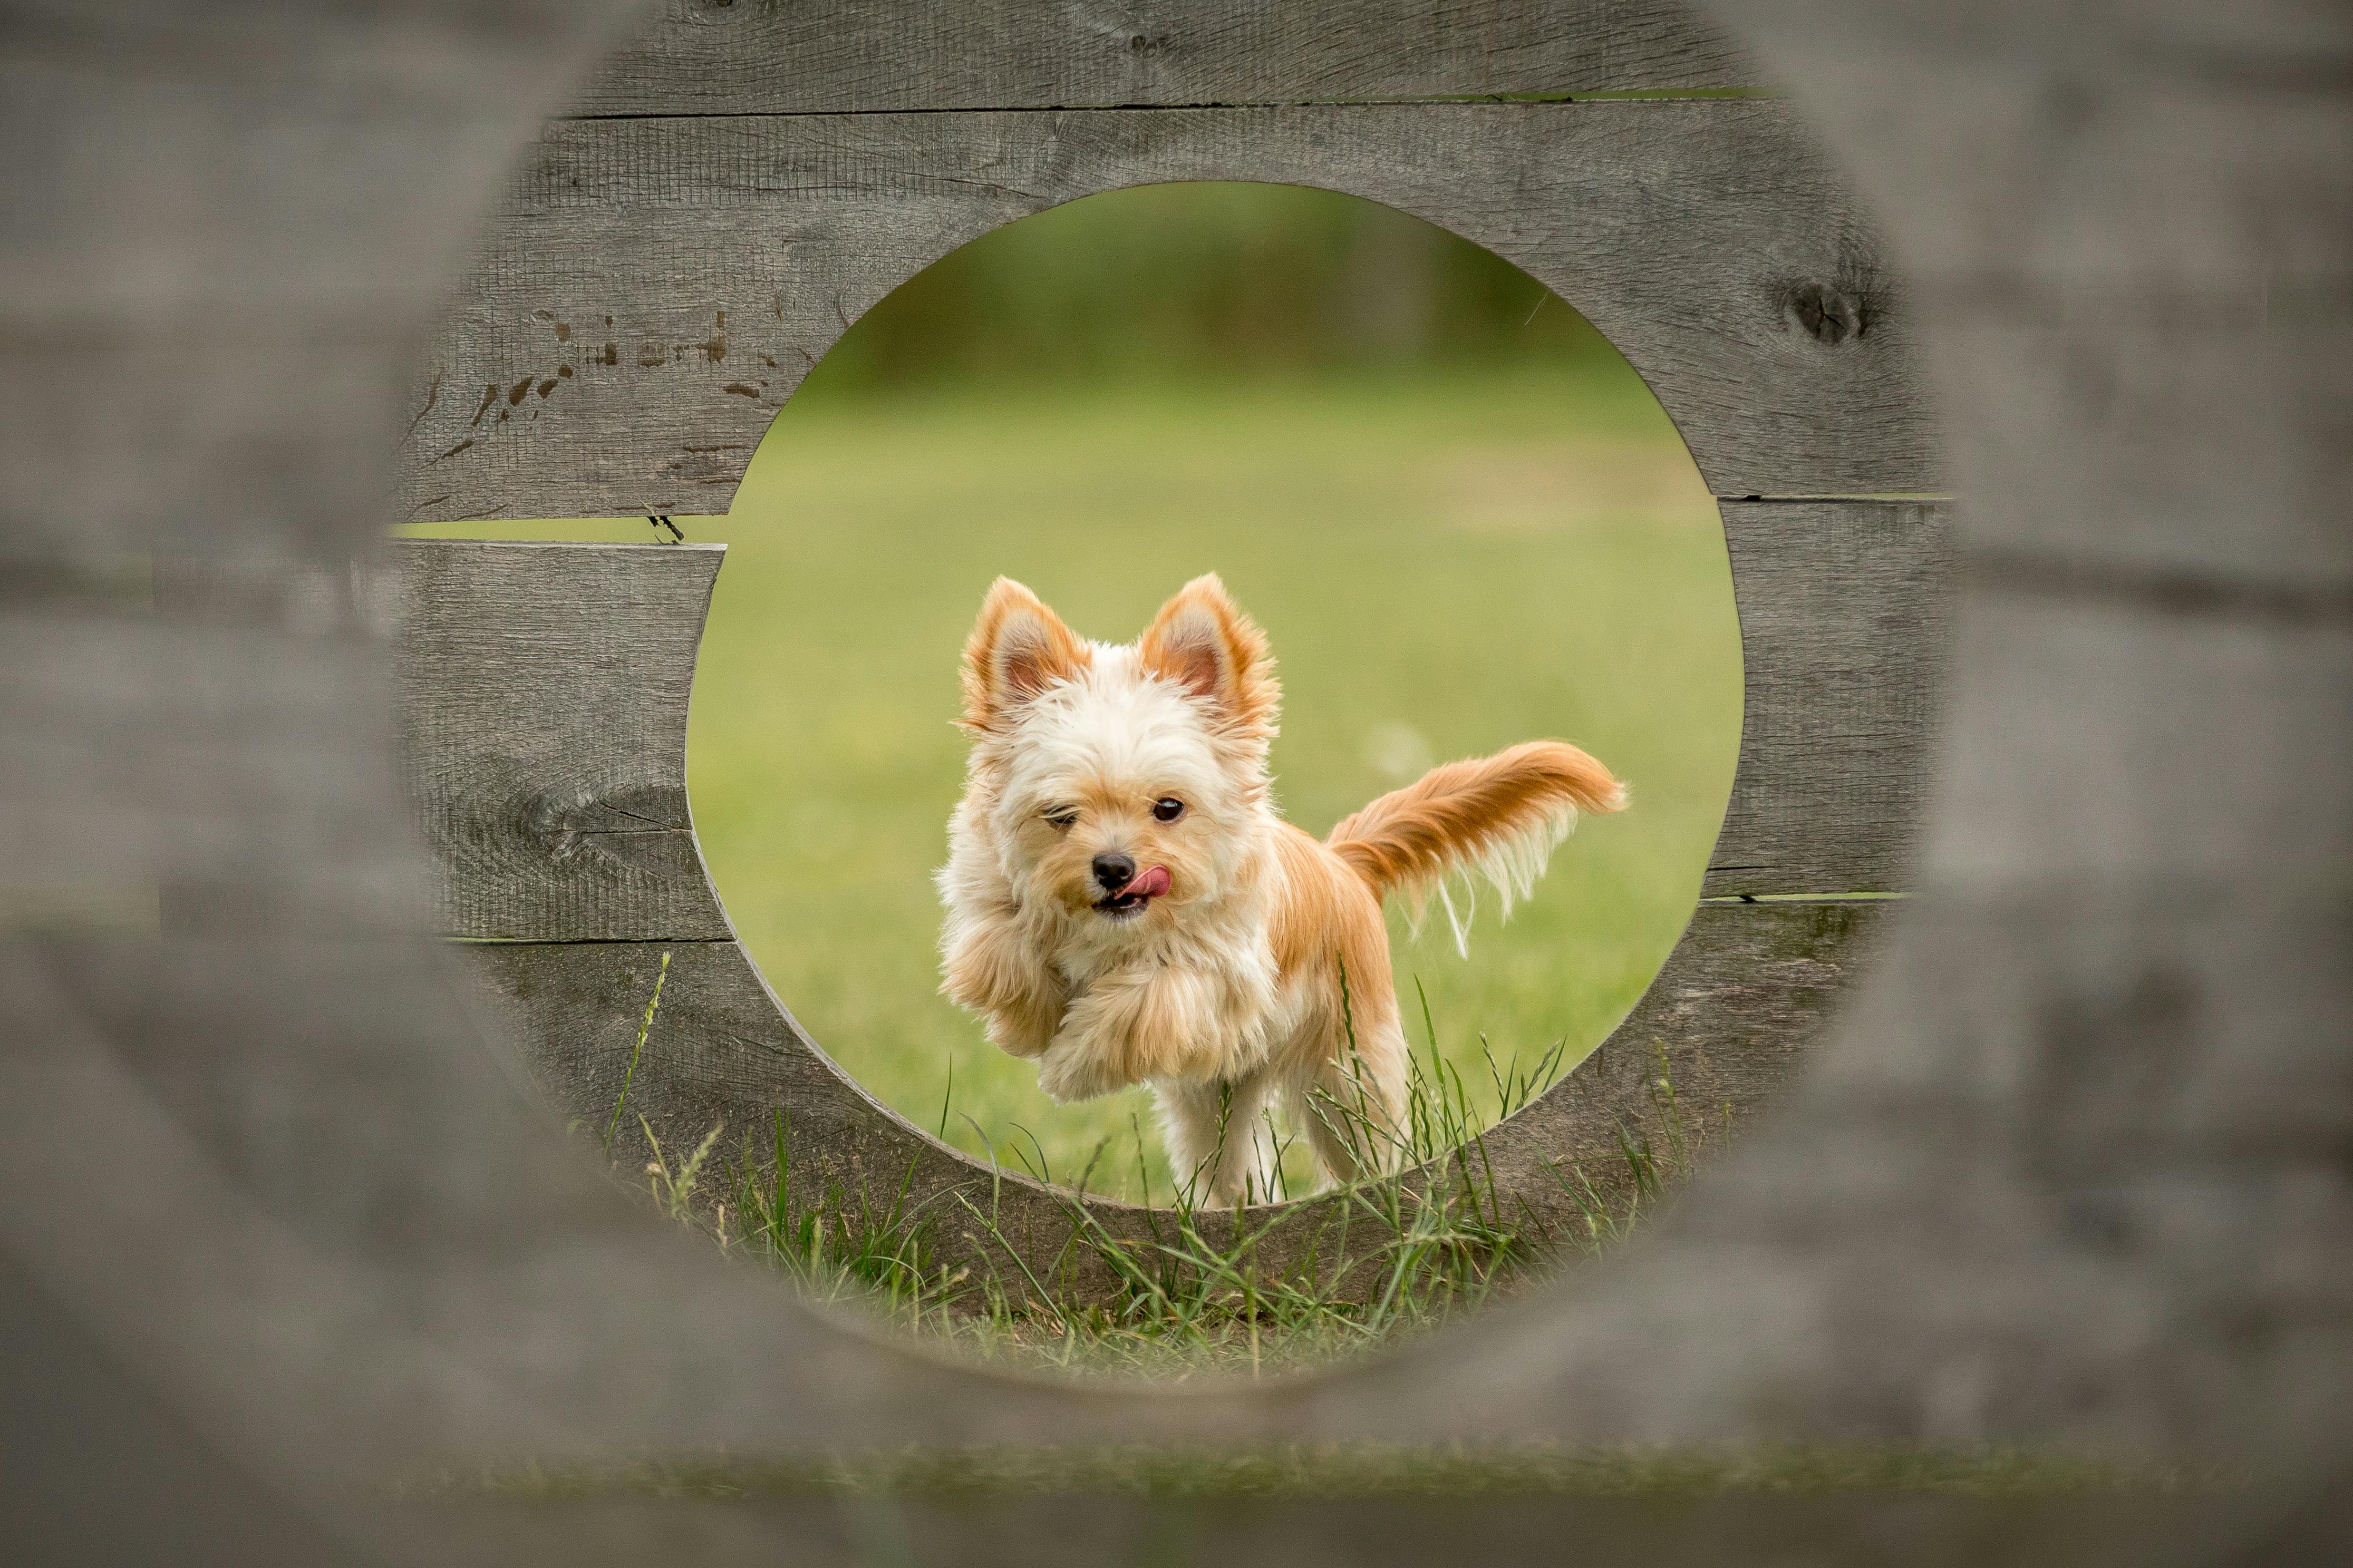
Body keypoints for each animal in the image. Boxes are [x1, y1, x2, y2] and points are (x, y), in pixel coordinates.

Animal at [932, 573, 1619, 1203]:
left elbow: (1145, 997)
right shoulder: (989, 907)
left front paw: (1073, 1062)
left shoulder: (1225, 968)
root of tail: (1342, 863)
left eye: (1168, 807)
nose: (1114, 867)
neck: (1116, 930)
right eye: (1059, 814)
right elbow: (1004, 951)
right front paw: (1035, 1020)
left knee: (1359, 1142)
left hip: (1346, 1073)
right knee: (1231, 1163)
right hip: (1213, 1102)